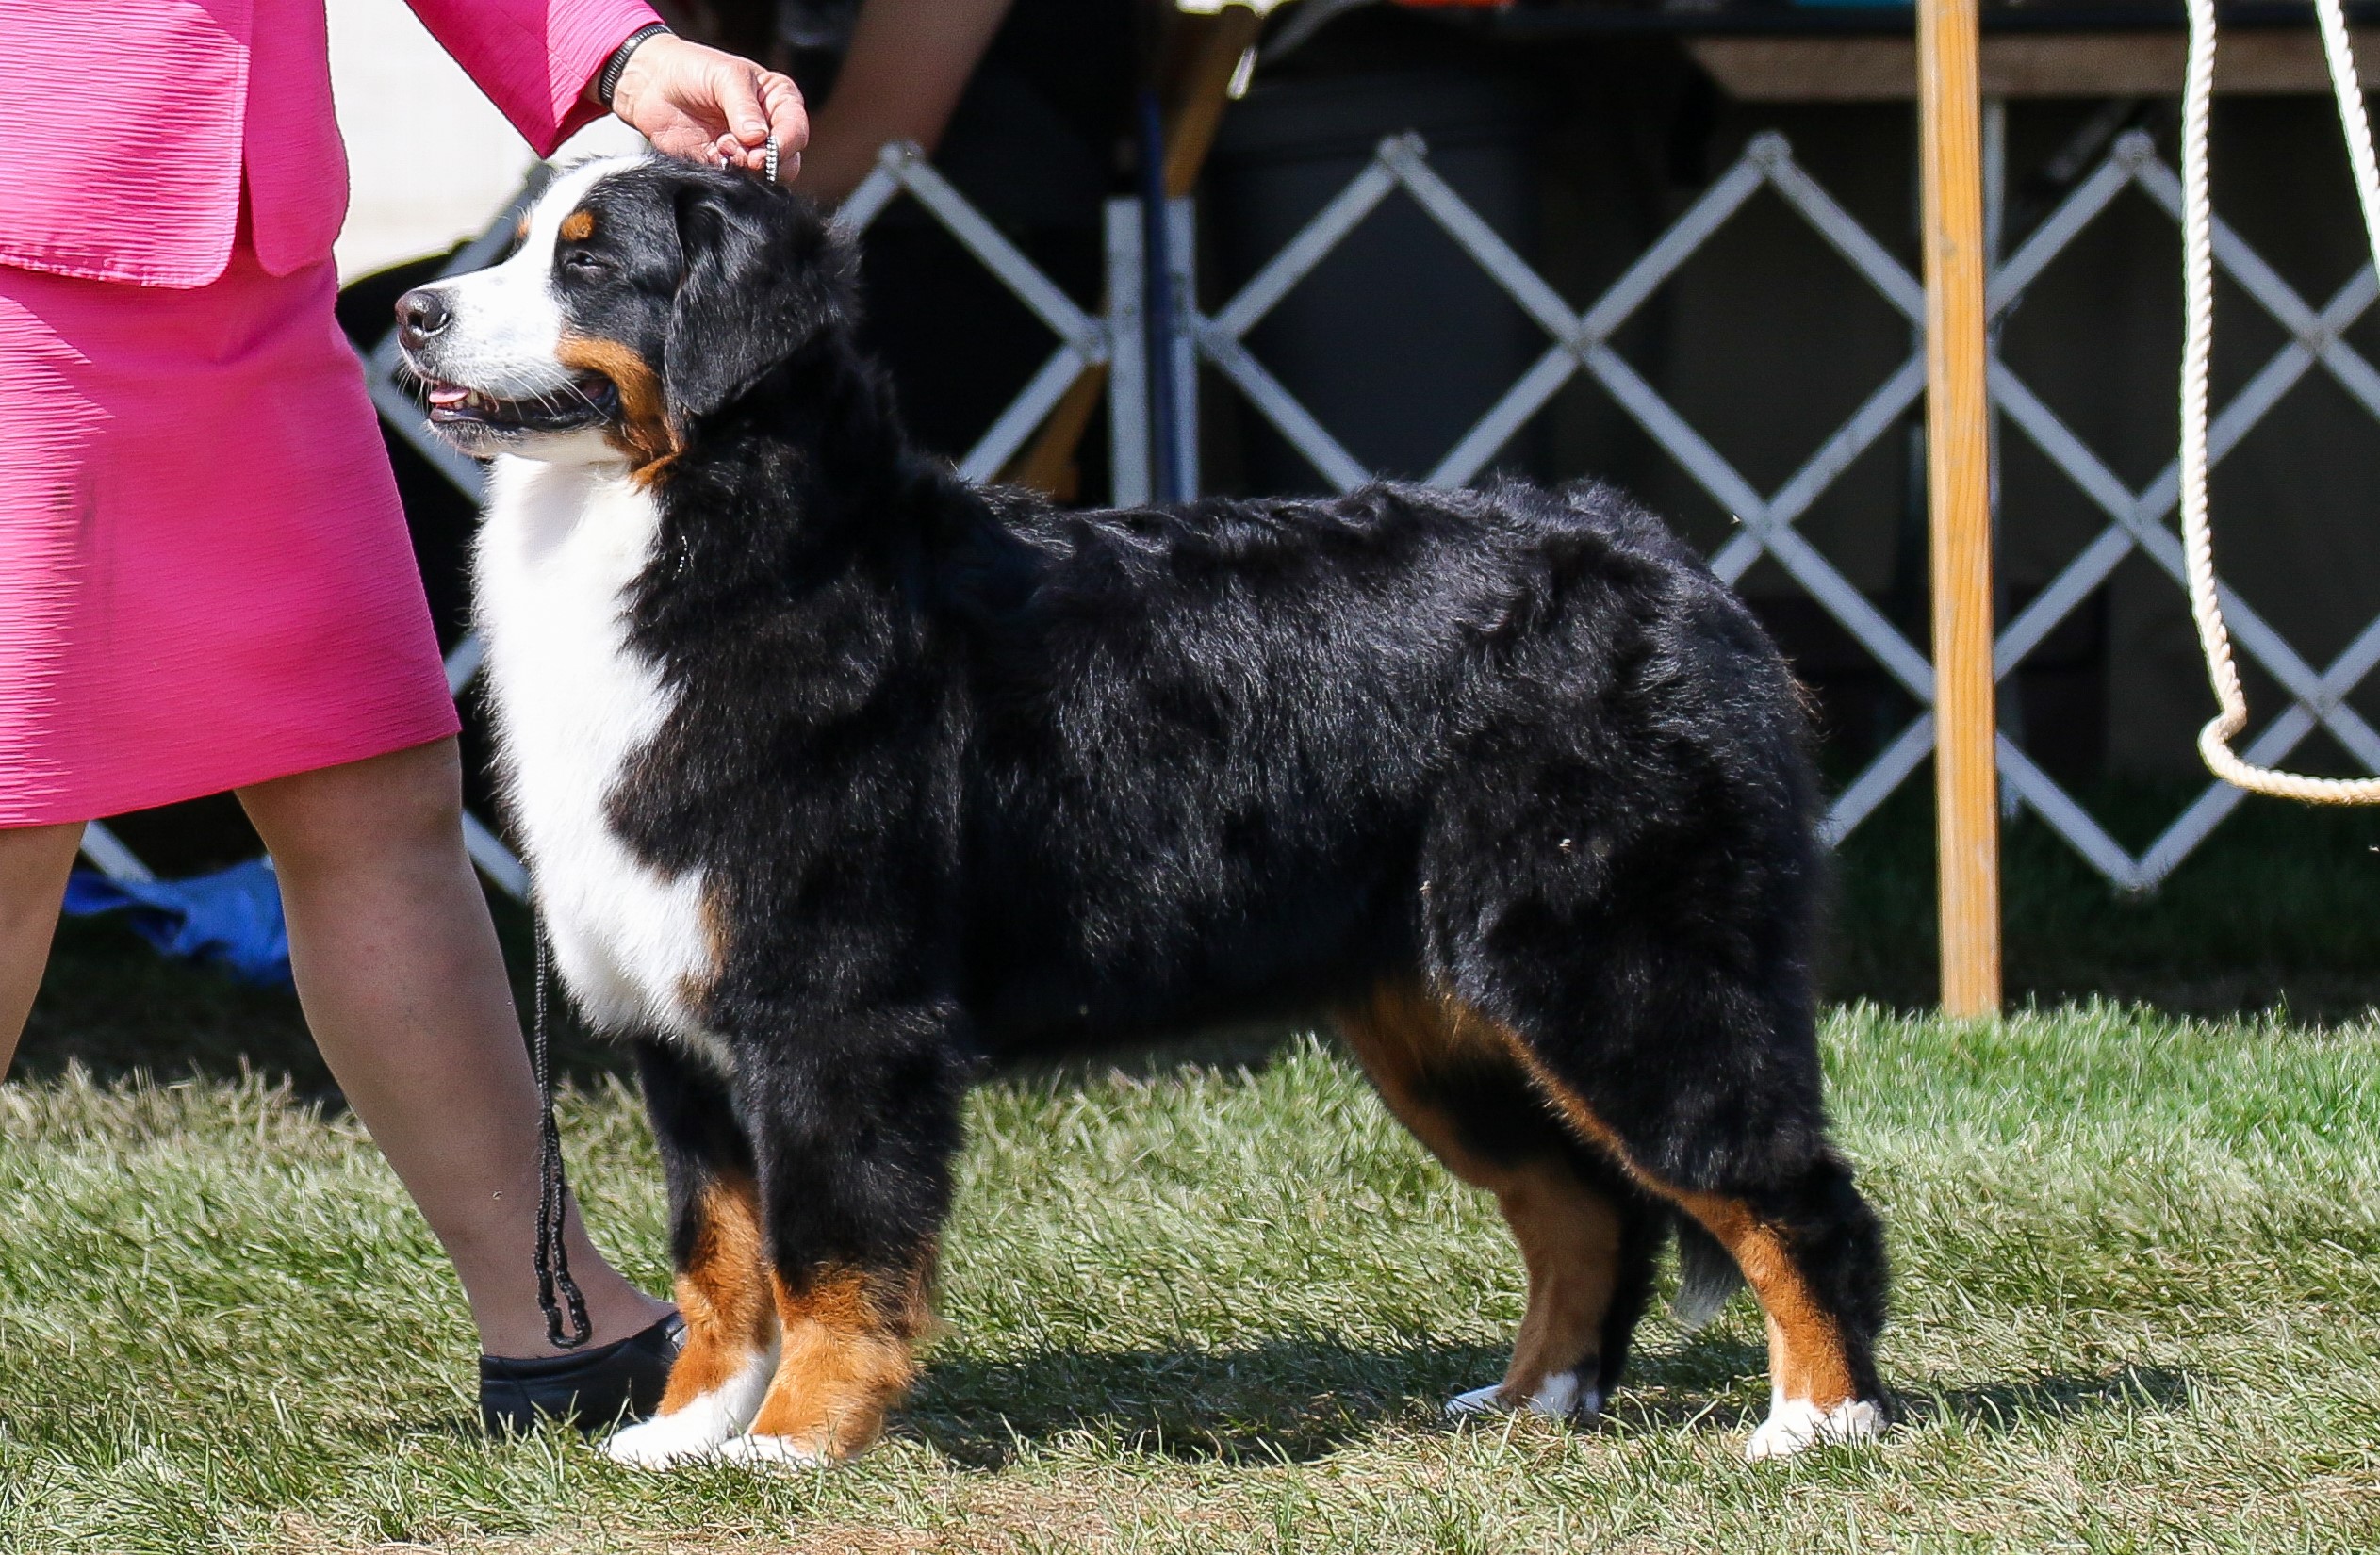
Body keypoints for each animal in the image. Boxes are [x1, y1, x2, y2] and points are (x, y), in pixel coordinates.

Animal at [390, 155, 1884, 1466]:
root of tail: (1661, 558)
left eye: (587, 262)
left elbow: (828, 1255)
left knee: (1786, 1191)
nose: (413, 312)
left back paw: (1815, 1420)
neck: (703, 544)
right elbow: (718, 1257)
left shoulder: (835, 1013)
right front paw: (686, 1431)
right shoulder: (682, 1029)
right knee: (1580, 1209)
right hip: (1447, 1019)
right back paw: (1535, 1402)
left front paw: (793, 1441)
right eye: (522, 241)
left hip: (1614, 969)